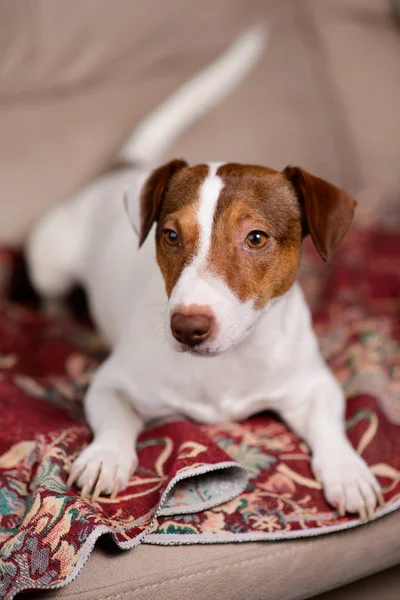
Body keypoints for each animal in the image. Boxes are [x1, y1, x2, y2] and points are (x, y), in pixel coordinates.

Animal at [26, 27, 382, 520]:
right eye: (171, 235)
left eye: (256, 238)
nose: (187, 327)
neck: (228, 362)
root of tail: (120, 173)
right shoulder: (110, 384)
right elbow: (115, 420)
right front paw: (105, 457)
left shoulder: (314, 385)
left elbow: (332, 428)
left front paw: (349, 472)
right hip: (50, 263)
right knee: (52, 291)